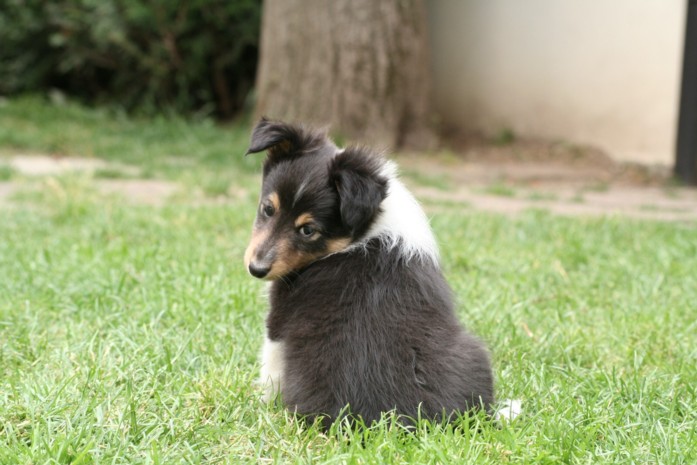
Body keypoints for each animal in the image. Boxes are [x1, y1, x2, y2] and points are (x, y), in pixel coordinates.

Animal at [245, 118, 494, 428]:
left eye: (308, 230)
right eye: (268, 209)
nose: (256, 269)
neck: (364, 231)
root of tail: (388, 420)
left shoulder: (278, 321)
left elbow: (271, 370)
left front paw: (261, 404)